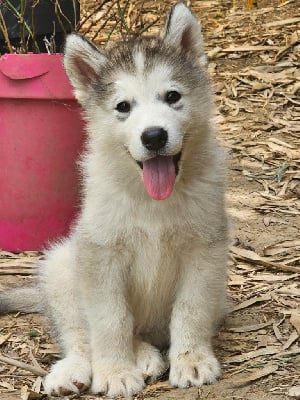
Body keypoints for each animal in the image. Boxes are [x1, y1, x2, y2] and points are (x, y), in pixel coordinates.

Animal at [0, 2, 229, 396]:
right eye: (123, 106)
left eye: (173, 96)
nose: (153, 136)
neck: (152, 201)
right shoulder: (101, 256)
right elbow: (110, 320)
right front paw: (116, 372)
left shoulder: (204, 252)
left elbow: (191, 309)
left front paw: (192, 360)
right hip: (63, 268)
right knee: (80, 335)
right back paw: (79, 370)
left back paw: (148, 355)